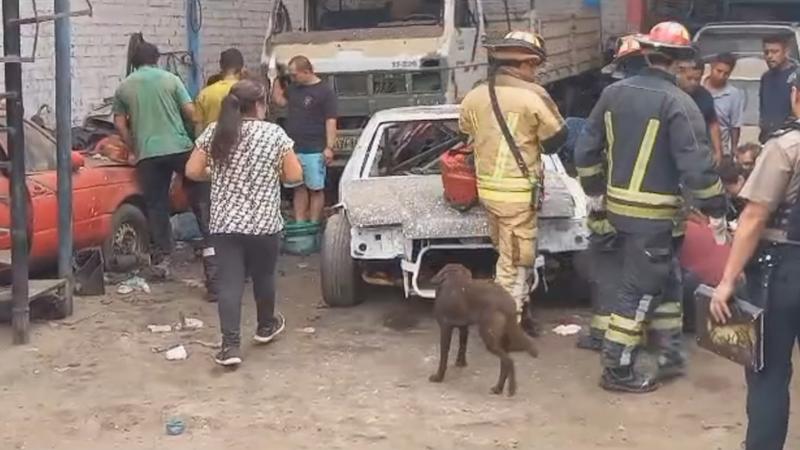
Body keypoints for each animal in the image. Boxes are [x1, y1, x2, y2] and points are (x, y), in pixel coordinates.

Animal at [428, 264, 540, 398]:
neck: (453, 277)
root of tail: (508, 303)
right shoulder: (464, 328)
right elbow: (462, 346)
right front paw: (461, 363)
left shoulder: (445, 328)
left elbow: (443, 357)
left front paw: (438, 377)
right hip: (502, 339)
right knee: (505, 362)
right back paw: (498, 388)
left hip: (488, 336)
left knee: (509, 361)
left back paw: (511, 389)